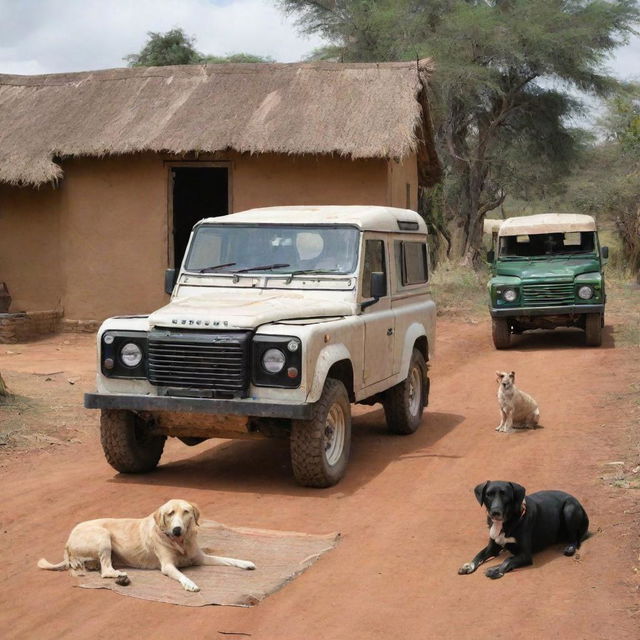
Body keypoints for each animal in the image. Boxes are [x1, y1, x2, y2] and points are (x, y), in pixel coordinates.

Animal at [458, 480, 588, 580]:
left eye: (505, 495)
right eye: (488, 494)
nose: (495, 512)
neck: (506, 524)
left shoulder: (525, 555)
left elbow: (507, 560)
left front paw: (496, 570)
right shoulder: (493, 547)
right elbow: (479, 555)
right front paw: (469, 566)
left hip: (569, 509)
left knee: (575, 538)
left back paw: (570, 547)